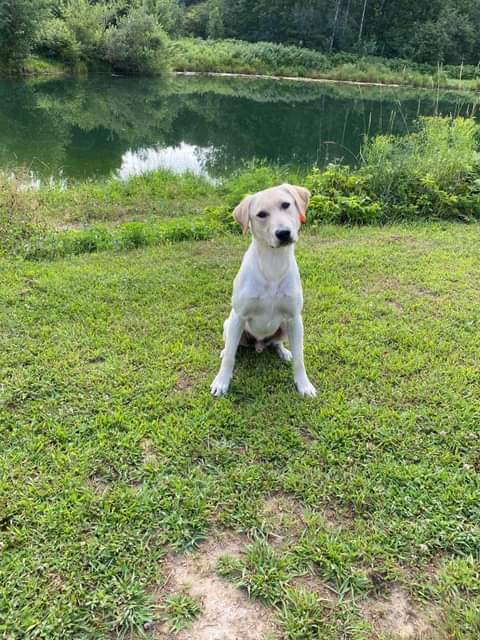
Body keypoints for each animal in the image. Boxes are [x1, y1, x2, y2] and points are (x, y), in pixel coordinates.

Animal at [209, 182, 316, 398]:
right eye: (261, 214)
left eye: (286, 205)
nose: (283, 233)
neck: (273, 263)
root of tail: (258, 344)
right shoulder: (239, 316)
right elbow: (230, 357)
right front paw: (222, 382)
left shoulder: (294, 318)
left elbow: (300, 358)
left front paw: (303, 384)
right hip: (229, 323)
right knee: (231, 346)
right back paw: (225, 350)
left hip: (284, 327)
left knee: (276, 343)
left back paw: (283, 351)